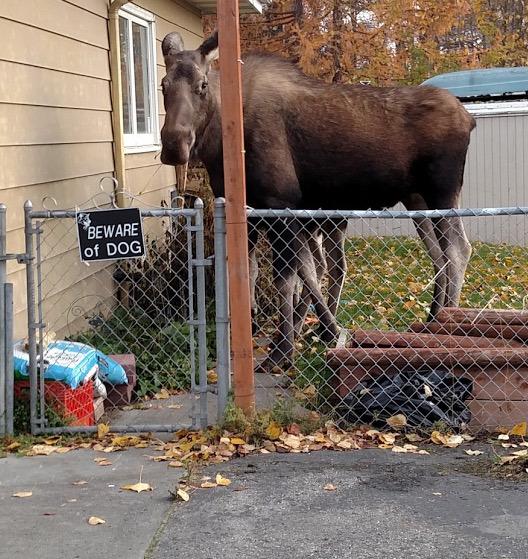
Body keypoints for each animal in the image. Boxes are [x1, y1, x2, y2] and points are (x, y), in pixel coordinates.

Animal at [159, 30, 476, 372]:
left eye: (202, 85)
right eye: (163, 84)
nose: (174, 144)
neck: (221, 146)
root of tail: (469, 119)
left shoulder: (280, 204)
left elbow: (287, 278)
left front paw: (283, 350)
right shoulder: (254, 212)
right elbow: (264, 271)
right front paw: (302, 329)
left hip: (442, 192)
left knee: (458, 250)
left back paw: (446, 327)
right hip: (418, 201)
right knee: (439, 256)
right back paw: (431, 319)